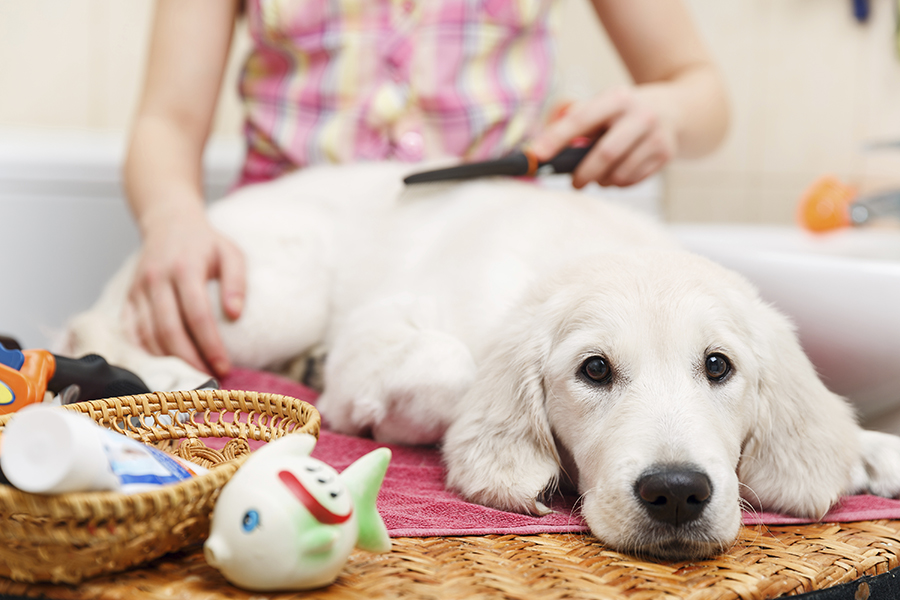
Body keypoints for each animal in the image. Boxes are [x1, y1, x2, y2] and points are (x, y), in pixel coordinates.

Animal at [59, 162, 900, 560]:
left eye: (718, 366)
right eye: (595, 370)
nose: (676, 494)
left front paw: (871, 450)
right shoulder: (382, 332)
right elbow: (452, 368)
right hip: (266, 297)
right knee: (100, 323)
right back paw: (172, 375)